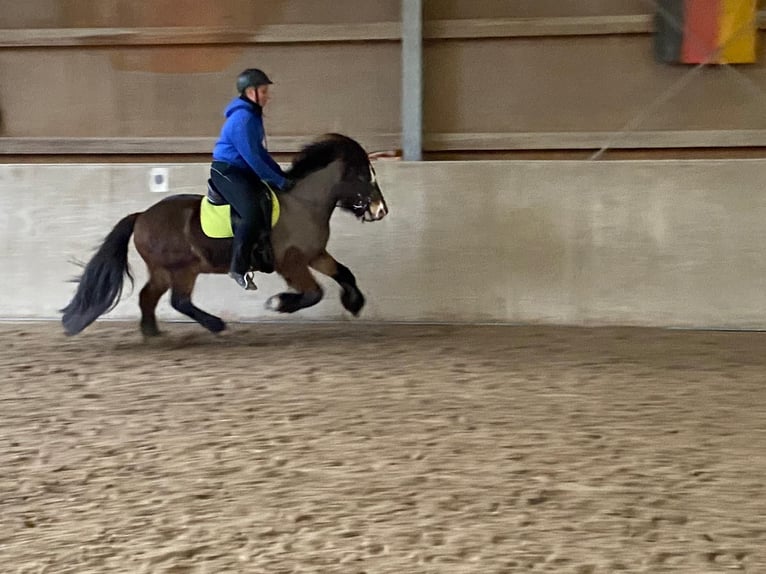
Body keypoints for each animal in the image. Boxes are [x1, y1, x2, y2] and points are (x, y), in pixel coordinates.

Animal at [61, 133, 389, 336]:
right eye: (362, 175)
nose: (380, 210)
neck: (304, 204)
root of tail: (142, 216)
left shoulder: (315, 254)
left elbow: (344, 272)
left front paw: (354, 302)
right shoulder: (291, 262)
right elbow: (313, 293)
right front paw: (279, 303)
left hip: (164, 270)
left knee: (149, 297)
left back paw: (153, 333)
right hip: (183, 269)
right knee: (179, 301)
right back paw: (215, 325)